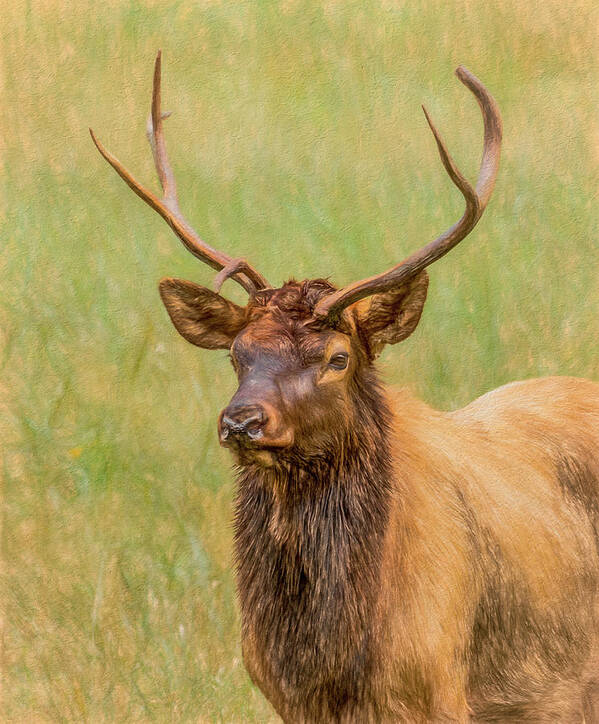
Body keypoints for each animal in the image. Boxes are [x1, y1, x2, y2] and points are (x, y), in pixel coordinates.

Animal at [90, 53, 599, 720]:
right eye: (237, 354)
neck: (332, 664)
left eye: (337, 358)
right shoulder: (287, 699)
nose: (242, 421)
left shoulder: (440, 687)